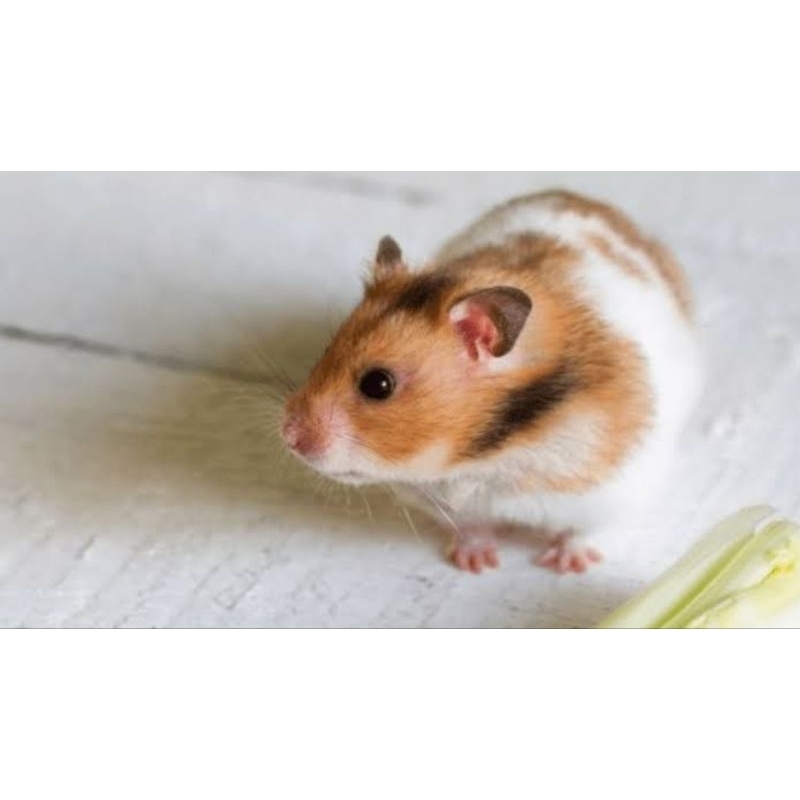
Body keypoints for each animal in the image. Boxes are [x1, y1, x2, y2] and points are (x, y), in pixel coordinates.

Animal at [281, 190, 701, 574]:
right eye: (327, 350)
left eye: (378, 384)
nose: (288, 436)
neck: (492, 455)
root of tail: (587, 199)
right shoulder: (448, 503)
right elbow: (472, 527)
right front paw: (477, 564)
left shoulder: (618, 492)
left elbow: (591, 532)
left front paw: (564, 564)